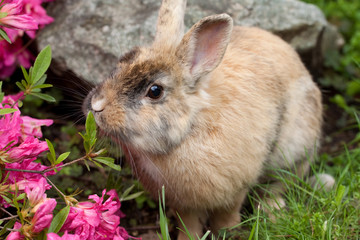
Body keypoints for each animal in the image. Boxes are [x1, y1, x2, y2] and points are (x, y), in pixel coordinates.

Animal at [83, 0, 334, 237]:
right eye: (120, 64)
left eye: (155, 91)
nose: (96, 105)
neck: (190, 129)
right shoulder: (183, 203)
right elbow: (189, 222)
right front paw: (187, 238)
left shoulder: (236, 187)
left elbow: (228, 213)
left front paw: (228, 231)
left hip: (294, 153)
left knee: (279, 185)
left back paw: (273, 210)